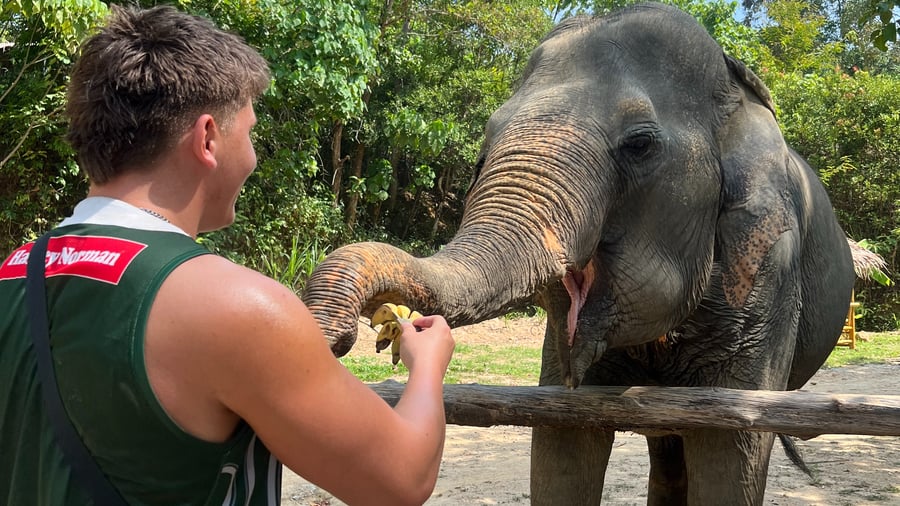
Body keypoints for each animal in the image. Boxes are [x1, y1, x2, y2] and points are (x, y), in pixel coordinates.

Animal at [301, 3, 855, 504]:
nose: (339, 336)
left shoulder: (767, 272)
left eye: (640, 144)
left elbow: (731, 451)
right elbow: (562, 438)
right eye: (486, 142)